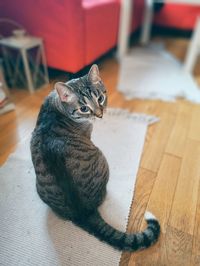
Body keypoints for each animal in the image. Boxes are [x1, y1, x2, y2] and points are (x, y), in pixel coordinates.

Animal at [30, 64, 160, 251]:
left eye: (100, 98)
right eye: (83, 108)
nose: (99, 115)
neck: (58, 109)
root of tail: (83, 212)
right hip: (103, 160)